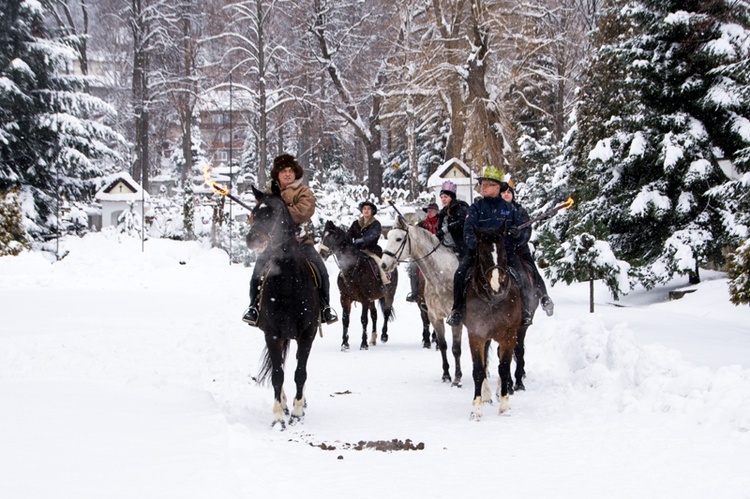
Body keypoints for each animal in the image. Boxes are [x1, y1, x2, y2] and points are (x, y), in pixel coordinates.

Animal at [318, 223, 396, 352]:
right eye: (323, 235)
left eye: (332, 237)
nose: (321, 254)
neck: (353, 269)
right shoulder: (345, 299)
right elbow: (345, 320)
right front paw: (345, 344)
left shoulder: (365, 299)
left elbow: (364, 319)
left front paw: (363, 344)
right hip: (372, 300)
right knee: (374, 315)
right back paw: (373, 339)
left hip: (389, 294)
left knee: (386, 312)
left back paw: (384, 336)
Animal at [382, 219, 464, 386]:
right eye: (388, 236)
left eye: (398, 239)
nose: (384, 264)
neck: (440, 275)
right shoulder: (434, 316)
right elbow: (443, 345)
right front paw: (446, 375)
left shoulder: (455, 319)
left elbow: (456, 349)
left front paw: (457, 378)